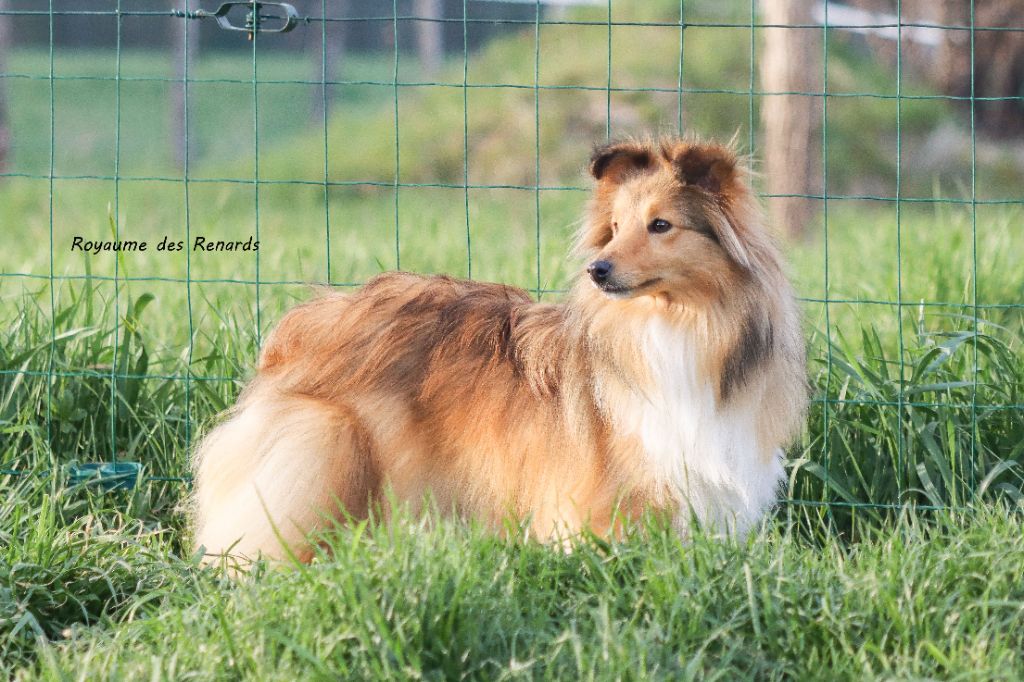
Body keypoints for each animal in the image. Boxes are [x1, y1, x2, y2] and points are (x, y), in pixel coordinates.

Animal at [192, 135, 806, 561]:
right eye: (613, 227)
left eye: (661, 225)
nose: (598, 270)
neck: (677, 325)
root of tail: (310, 319)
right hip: (329, 444)